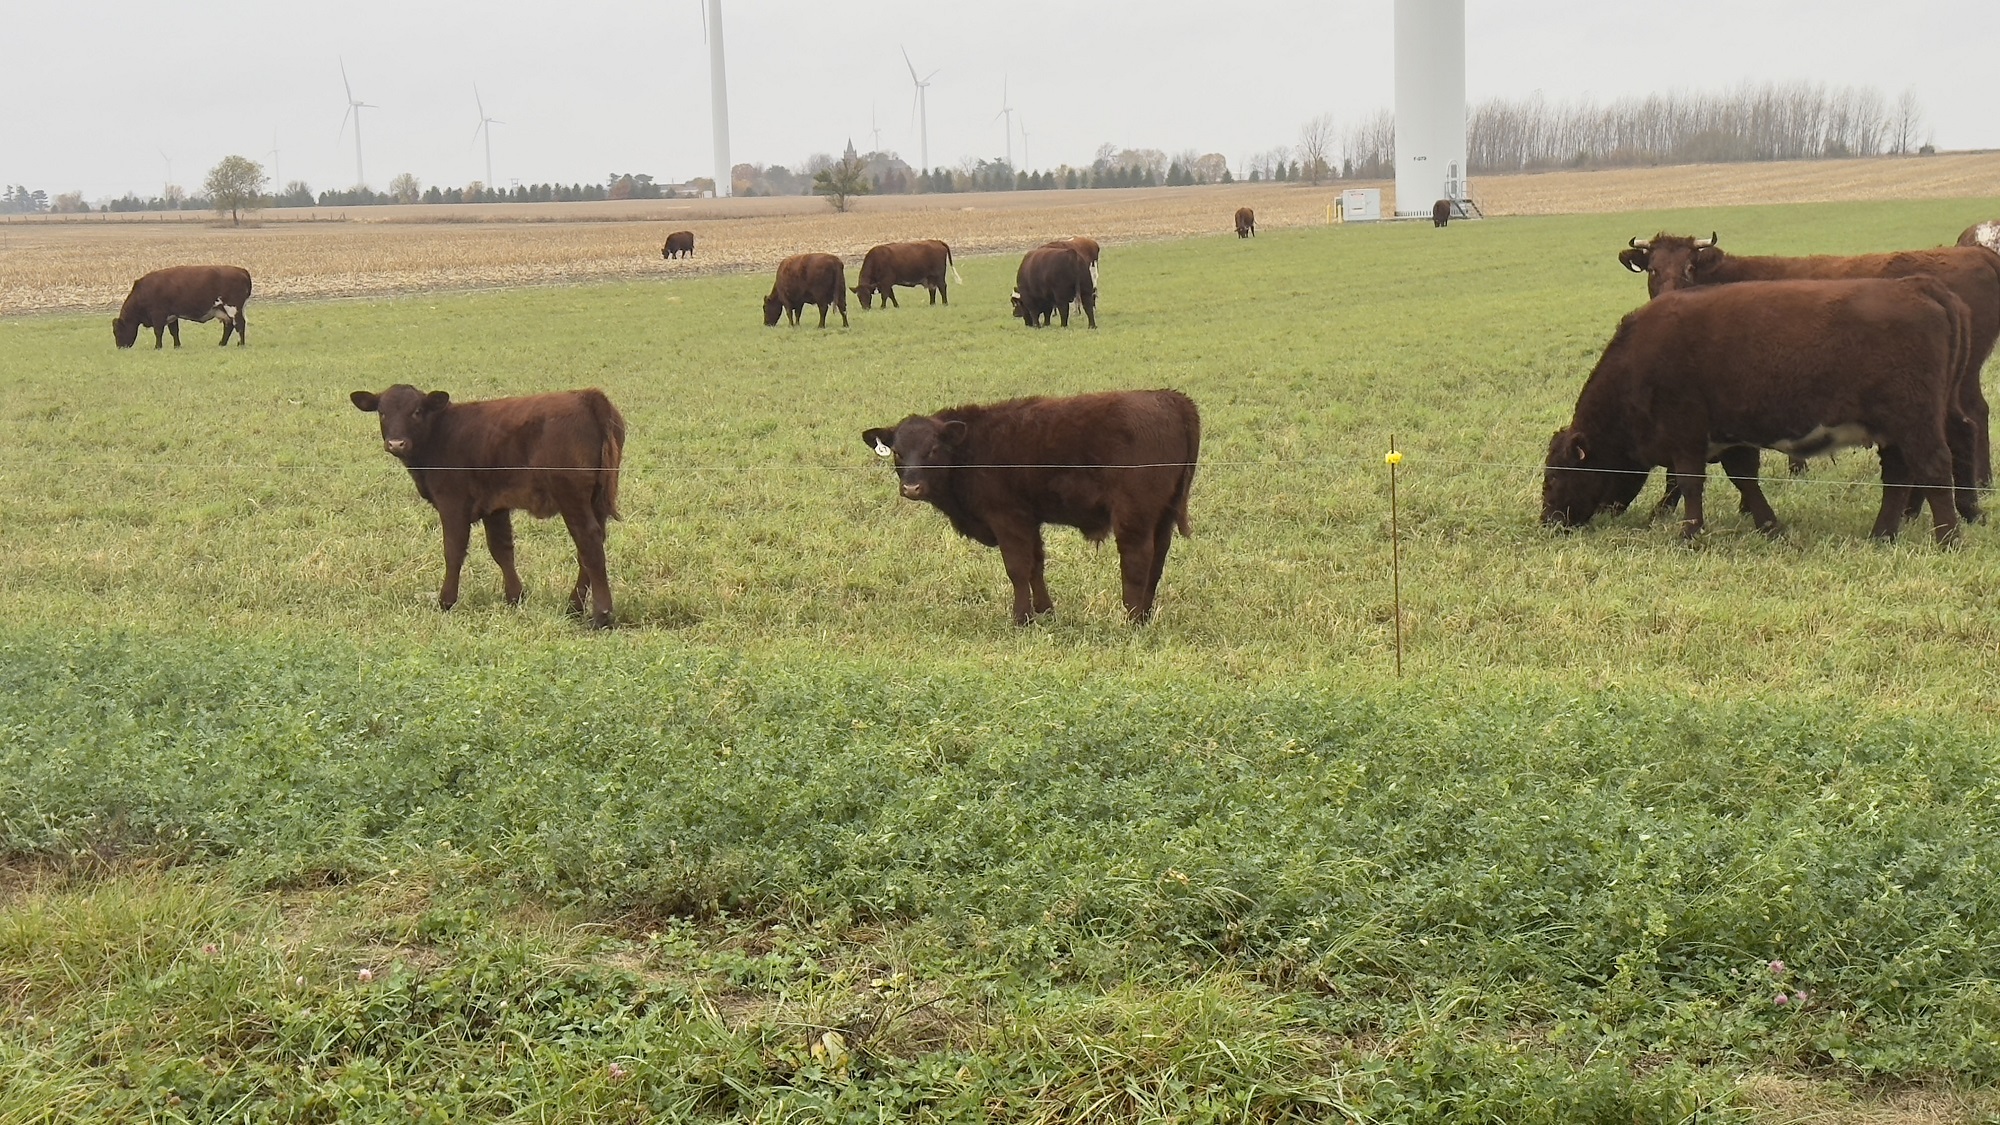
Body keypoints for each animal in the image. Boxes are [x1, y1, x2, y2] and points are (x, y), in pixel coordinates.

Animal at [112, 265, 252, 349]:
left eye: (117, 331)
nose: (120, 347)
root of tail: (241, 270)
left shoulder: (158, 314)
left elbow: (158, 331)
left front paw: (158, 347)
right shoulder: (172, 315)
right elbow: (174, 331)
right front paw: (177, 346)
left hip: (233, 308)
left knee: (240, 324)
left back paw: (241, 344)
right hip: (223, 310)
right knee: (229, 326)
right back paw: (222, 343)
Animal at [350, 385, 625, 628]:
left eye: (416, 411)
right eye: (382, 412)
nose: (396, 443)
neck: (439, 433)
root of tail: (587, 396)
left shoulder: (453, 503)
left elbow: (453, 551)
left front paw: (445, 601)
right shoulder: (495, 507)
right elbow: (502, 550)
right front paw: (515, 597)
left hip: (571, 496)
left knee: (588, 542)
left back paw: (600, 615)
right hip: (596, 500)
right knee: (590, 548)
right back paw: (574, 606)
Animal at [862, 389, 1199, 625]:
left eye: (932, 449)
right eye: (898, 452)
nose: (911, 488)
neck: (970, 448)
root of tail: (1170, 397)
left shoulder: (1007, 518)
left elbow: (1017, 568)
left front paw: (1020, 618)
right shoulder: (1028, 520)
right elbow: (1036, 564)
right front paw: (1045, 611)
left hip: (1134, 515)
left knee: (1137, 560)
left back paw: (1131, 619)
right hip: (1163, 515)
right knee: (1157, 560)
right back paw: (1144, 615)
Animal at [1542, 277, 1974, 545]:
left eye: (1556, 475)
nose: (1548, 520)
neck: (1637, 361)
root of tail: (1916, 284)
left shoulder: (1686, 436)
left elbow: (1689, 483)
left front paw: (1689, 534)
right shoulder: (1733, 437)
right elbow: (1745, 480)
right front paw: (1770, 526)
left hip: (1915, 422)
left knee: (1934, 469)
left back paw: (1948, 538)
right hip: (1892, 431)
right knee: (1898, 478)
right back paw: (1881, 535)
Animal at [1619, 231, 2000, 490]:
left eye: (1688, 267)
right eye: (1652, 269)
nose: (1666, 298)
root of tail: (1979, 254)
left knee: (1974, 415)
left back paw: (1980, 481)